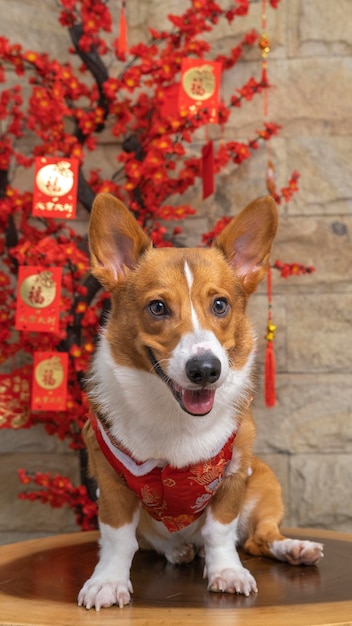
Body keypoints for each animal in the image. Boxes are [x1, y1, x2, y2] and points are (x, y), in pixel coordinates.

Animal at [78, 193, 324, 608]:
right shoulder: (109, 482)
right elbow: (117, 539)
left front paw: (226, 573)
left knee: (259, 537)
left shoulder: (233, 474)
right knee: (158, 543)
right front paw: (107, 582)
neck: (174, 417)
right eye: (158, 307)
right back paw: (178, 550)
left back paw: (293, 548)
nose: (206, 369)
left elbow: (220, 532)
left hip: (265, 480)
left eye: (220, 305)